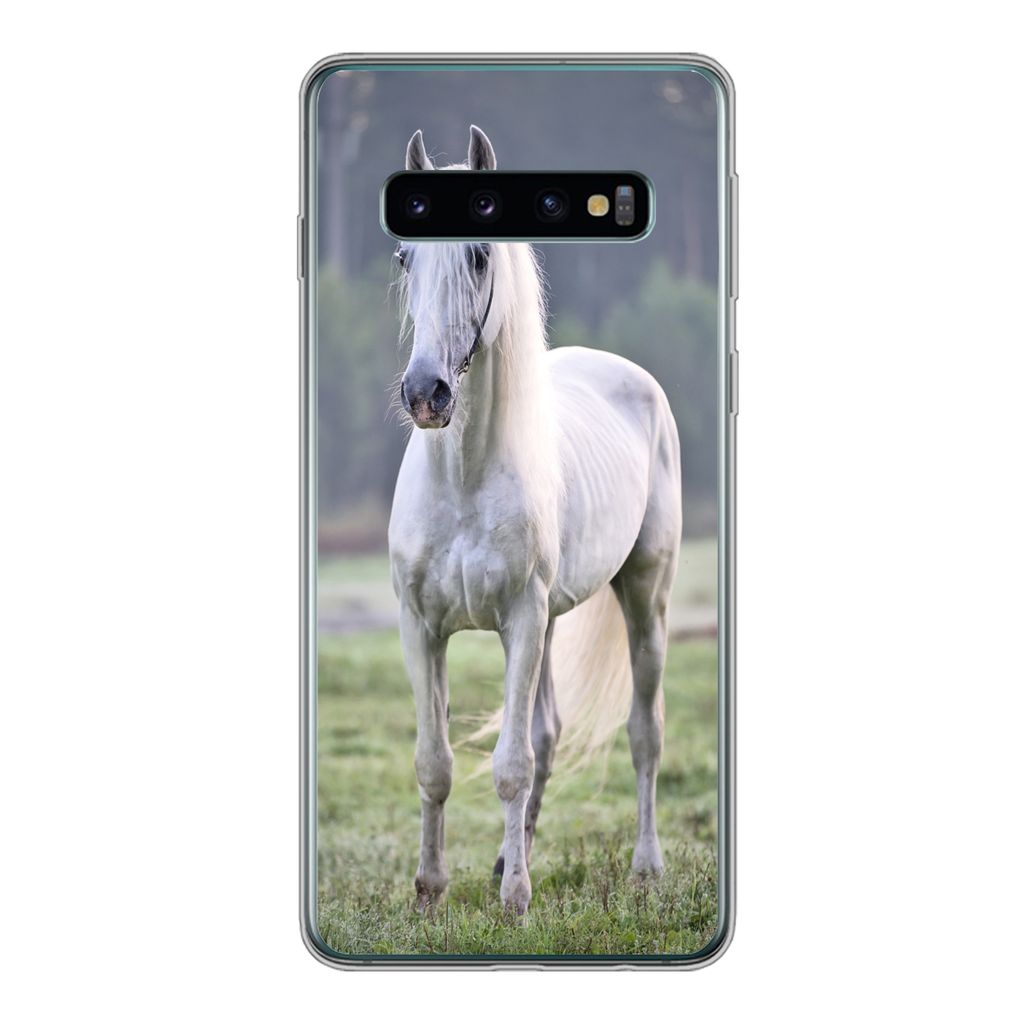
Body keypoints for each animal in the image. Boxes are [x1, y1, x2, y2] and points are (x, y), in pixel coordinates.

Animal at [388, 126, 682, 916]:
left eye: (479, 255)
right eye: (404, 257)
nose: (426, 394)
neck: (463, 481)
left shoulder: (520, 620)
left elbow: (511, 765)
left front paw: (516, 902)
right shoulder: (423, 627)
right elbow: (433, 762)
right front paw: (429, 891)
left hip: (643, 596)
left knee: (643, 732)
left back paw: (645, 866)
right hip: (550, 621)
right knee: (548, 734)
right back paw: (502, 858)